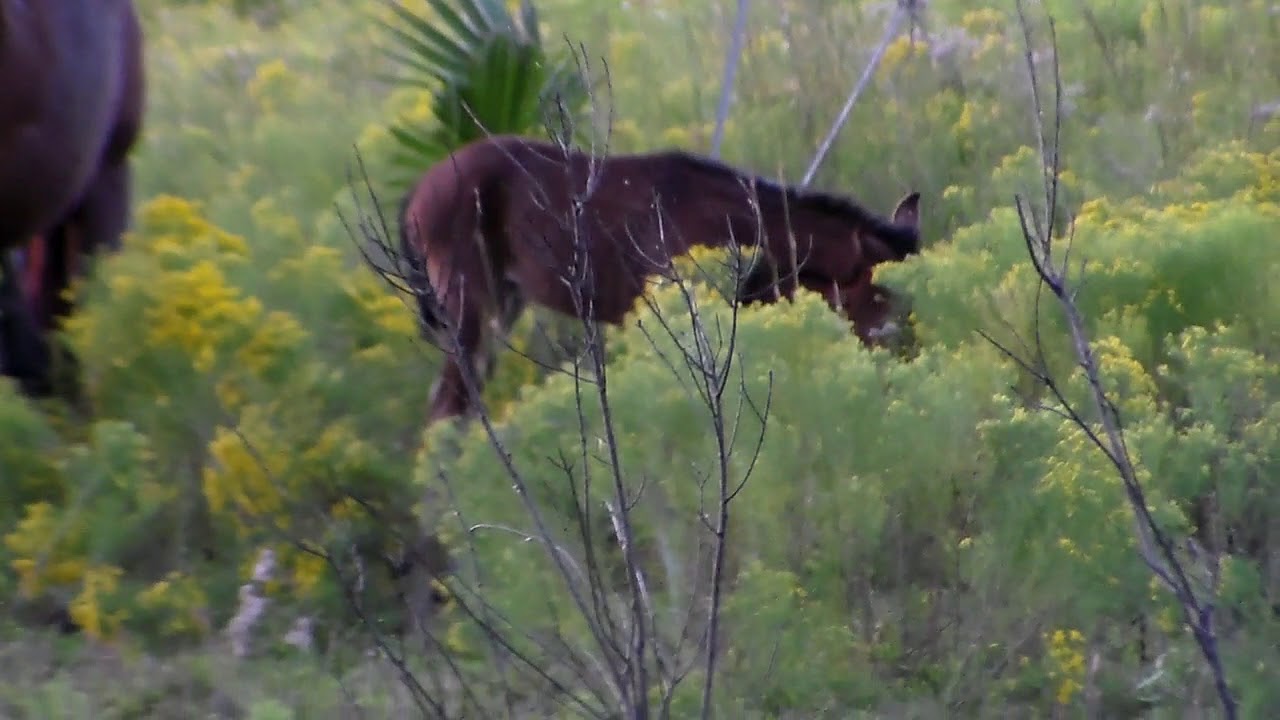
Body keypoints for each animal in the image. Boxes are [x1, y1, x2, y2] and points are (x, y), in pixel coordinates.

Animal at [396, 134, 923, 425]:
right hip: (468, 305)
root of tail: (416, 195)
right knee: (445, 409)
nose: (911, 363)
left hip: (503, 304)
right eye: (884, 302)